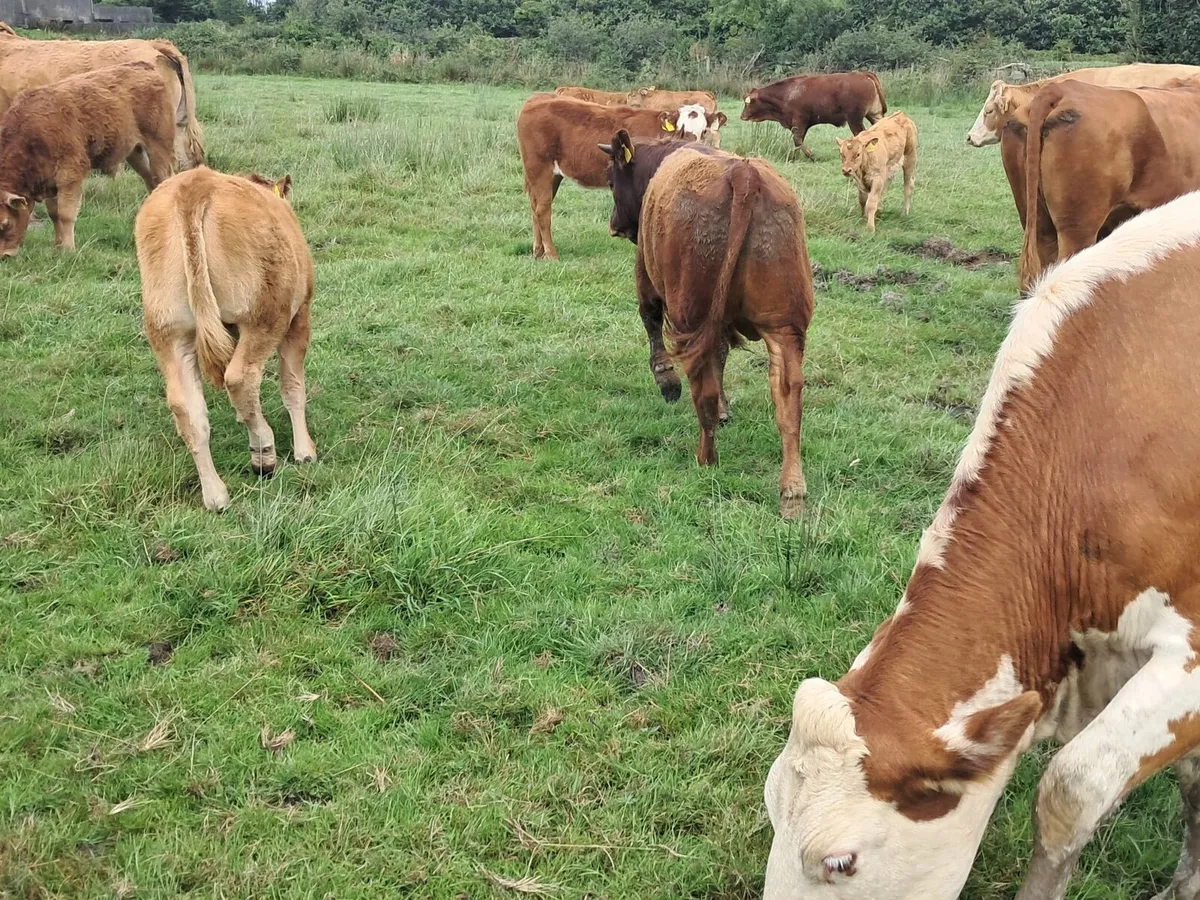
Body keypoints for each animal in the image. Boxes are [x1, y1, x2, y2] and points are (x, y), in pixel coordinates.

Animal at [0, 61, 178, 258]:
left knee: (165, 178)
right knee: (150, 180)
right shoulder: (49, 181)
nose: (4, 256)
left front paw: (68, 249)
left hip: (159, 148)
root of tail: (143, 66)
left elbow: (66, 214)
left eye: (5, 224)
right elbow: (54, 214)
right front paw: (57, 246)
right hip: (136, 152)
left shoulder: (70, 176)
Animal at [136, 167, 316, 512]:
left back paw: (215, 495)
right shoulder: (299, 317)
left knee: (187, 407)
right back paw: (263, 453)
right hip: (264, 318)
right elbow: (293, 386)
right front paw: (305, 450)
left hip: (170, 330)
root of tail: (195, 186)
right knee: (240, 378)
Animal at [516, 93, 719, 259]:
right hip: (539, 168)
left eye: (704, 131)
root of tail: (537, 98)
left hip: (551, 175)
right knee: (543, 210)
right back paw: (551, 254)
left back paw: (538, 251)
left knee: (535, 207)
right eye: (681, 127)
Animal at [600, 132, 814, 518]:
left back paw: (706, 458)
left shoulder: (645, 272)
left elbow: (651, 320)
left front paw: (666, 381)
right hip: (785, 328)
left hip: (693, 313)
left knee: (704, 389)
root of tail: (744, 175)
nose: (614, 224)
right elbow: (723, 355)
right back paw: (793, 492)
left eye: (611, 181)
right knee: (789, 400)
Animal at [741, 72, 886, 161]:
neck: (787, 94)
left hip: (854, 119)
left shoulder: (798, 122)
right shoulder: (802, 126)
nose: (742, 116)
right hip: (875, 116)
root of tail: (863, 74)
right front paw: (795, 158)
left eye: (748, 102)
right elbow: (798, 142)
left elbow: (797, 140)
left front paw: (812, 156)